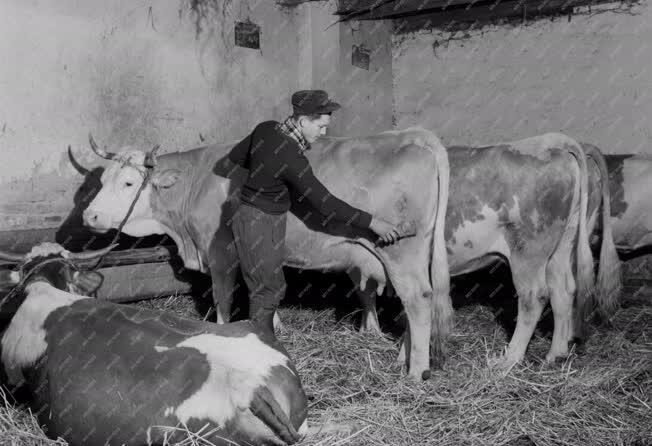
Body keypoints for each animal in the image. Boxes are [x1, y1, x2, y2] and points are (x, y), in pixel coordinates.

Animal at [81, 128, 450, 380]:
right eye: (103, 180)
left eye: (129, 183)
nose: (89, 216)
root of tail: (411, 136)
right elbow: (259, 287)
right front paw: (273, 330)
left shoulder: (220, 252)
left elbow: (223, 297)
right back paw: (403, 356)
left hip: (402, 253)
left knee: (418, 300)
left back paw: (415, 372)